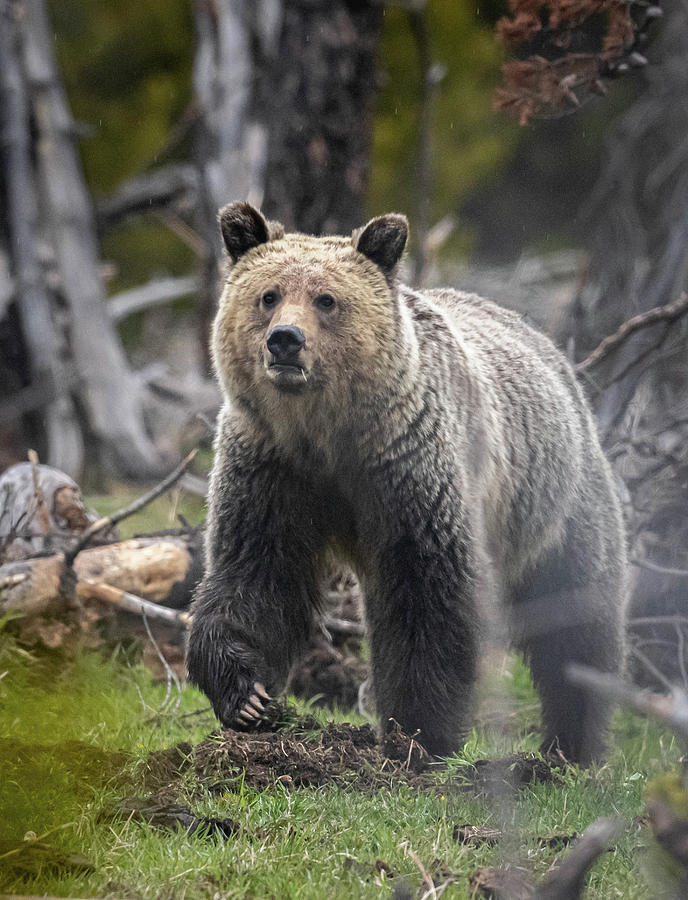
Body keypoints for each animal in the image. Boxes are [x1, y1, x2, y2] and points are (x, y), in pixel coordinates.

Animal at [188, 200, 628, 764]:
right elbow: (256, 572)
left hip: (555, 500)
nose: (285, 340)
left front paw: (418, 731)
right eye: (269, 295)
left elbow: (426, 595)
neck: (326, 433)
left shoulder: (405, 466)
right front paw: (247, 697)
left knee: (577, 620)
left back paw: (571, 745)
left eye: (326, 299)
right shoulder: (273, 466)